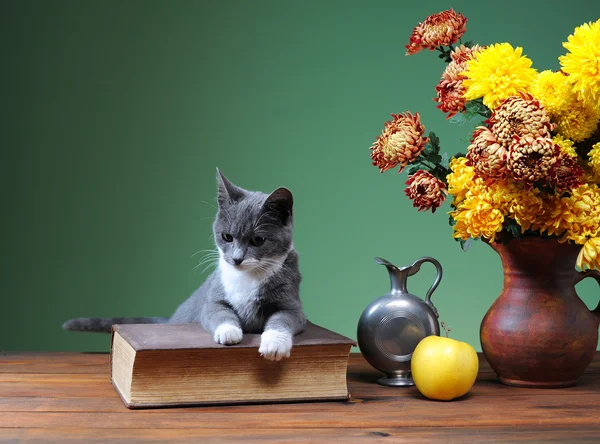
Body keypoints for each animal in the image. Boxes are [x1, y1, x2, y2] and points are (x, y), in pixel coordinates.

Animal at [63, 170, 308, 360]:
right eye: (227, 237)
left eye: (258, 240)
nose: (236, 258)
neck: (247, 277)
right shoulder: (212, 298)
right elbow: (219, 313)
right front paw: (229, 333)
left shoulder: (292, 305)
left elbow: (282, 319)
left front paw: (274, 345)